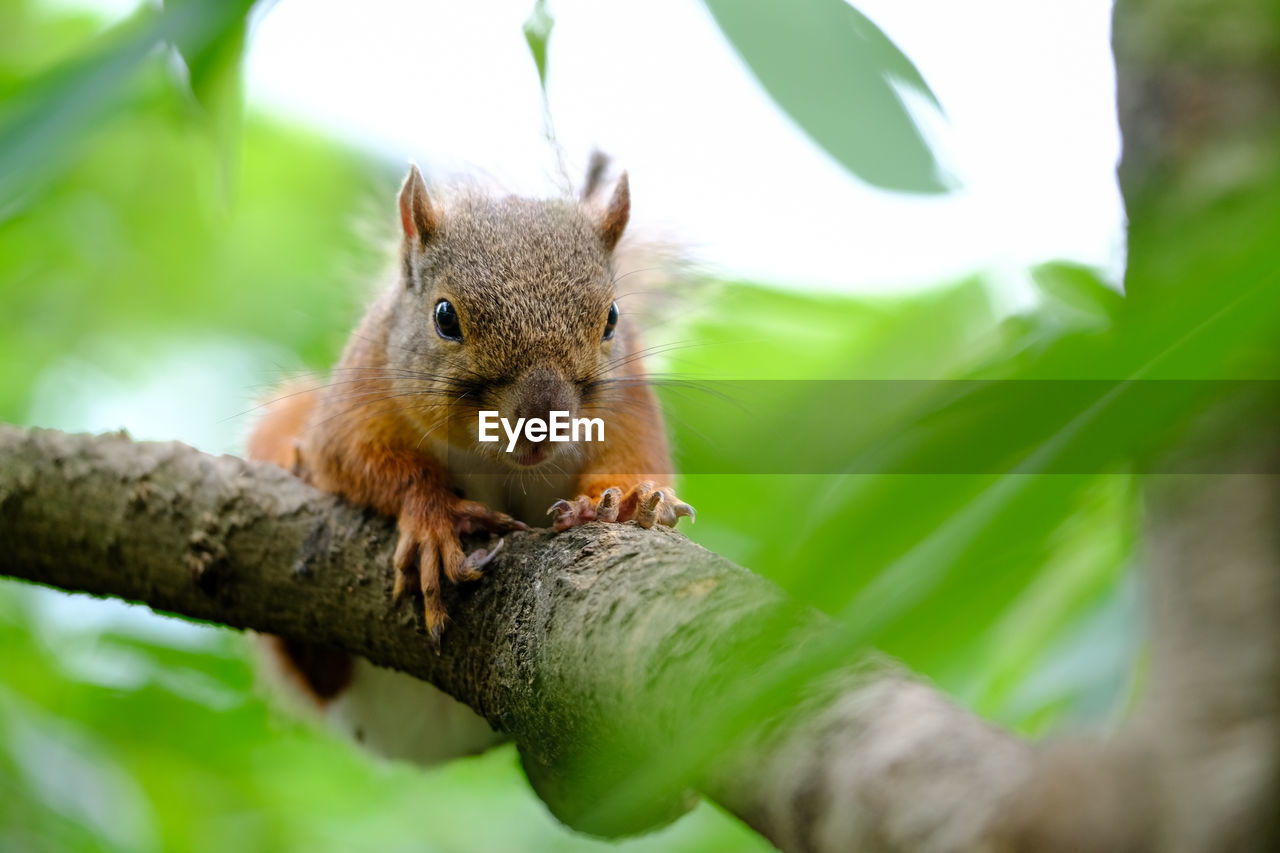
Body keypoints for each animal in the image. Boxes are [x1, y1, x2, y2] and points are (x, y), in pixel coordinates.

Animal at [245, 154, 696, 763]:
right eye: (444, 317)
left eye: (612, 319)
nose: (541, 425)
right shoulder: (361, 392)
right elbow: (353, 458)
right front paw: (432, 517)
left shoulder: (631, 409)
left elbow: (636, 462)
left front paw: (628, 500)